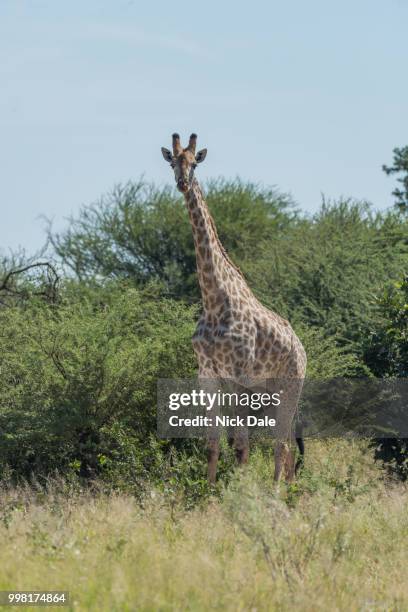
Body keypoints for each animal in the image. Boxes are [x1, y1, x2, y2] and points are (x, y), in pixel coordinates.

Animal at [160, 133, 306, 482]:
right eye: (172, 163)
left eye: (195, 162)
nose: (182, 183)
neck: (214, 302)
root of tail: (303, 349)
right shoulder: (208, 375)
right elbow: (213, 443)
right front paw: (211, 491)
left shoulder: (239, 375)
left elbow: (241, 446)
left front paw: (238, 491)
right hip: (270, 391)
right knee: (287, 447)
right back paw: (289, 488)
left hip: (291, 385)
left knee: (281, 443)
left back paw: (276, 489)